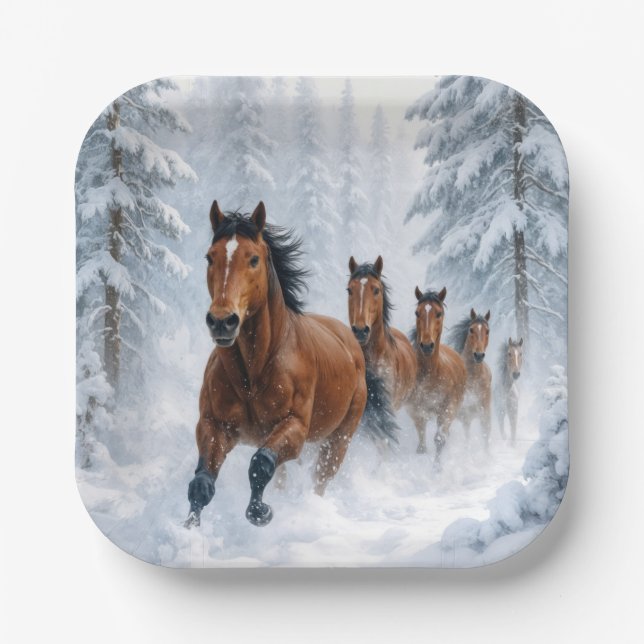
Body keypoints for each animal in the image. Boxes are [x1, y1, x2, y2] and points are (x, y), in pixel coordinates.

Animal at [185, 201, 390, 529]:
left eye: (253, 259)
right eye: (210, 257)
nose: (221, 321)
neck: (253, 374)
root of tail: (352, 341)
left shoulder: (294, 428)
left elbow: (260, 463)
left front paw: (261, 512)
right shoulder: (213, 425)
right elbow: (202, 483)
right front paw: (189, 527)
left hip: (339, 439)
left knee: (321, 477)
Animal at [407, 287, 467, 466]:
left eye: (439, 313)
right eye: (417, 312)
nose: (427, 346)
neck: (430, 375)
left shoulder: (448, 408)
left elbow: (440, 439)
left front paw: (437, 468)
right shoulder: (416, 410)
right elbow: (421, 439)